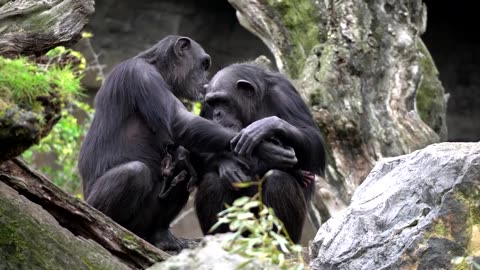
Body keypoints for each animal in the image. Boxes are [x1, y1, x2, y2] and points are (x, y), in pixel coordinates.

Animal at [77, 36, 294, 251]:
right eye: (204, 64)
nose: (206, 81)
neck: (160, 70)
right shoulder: (141, 75)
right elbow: (180, 120)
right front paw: (265, 148)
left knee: (183, 170)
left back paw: (162, 237)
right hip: (94, 202)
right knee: (134, 172)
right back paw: (110, 225)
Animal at [195, 62, 326, 244]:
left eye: (223, 101)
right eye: (213, 103)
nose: (217, 114)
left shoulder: (285, 94)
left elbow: (314, 140)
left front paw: (267, 126)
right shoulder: (204, 106)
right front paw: (228, 165)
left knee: (279, 178)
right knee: (212, 180)